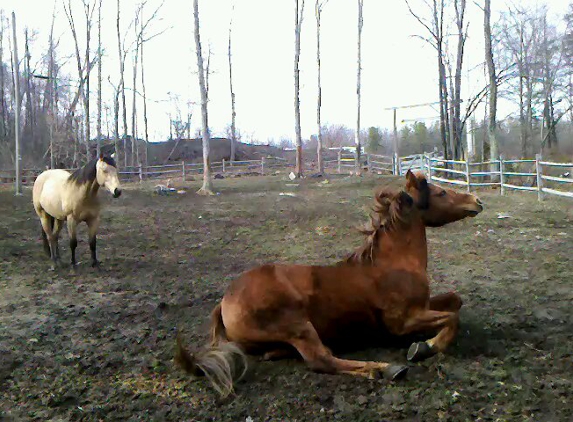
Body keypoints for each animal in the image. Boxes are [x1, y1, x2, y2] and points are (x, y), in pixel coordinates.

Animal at [175, 171, 482, 396]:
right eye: (441, 193)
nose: (477, 200)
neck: (395, 264)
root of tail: (224, 301)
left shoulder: (423, 306)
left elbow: (455, 301)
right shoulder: (404, 321)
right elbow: (452, 318)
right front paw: (425, 347)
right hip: (297, 325)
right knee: (321, 359)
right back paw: (384, 369)